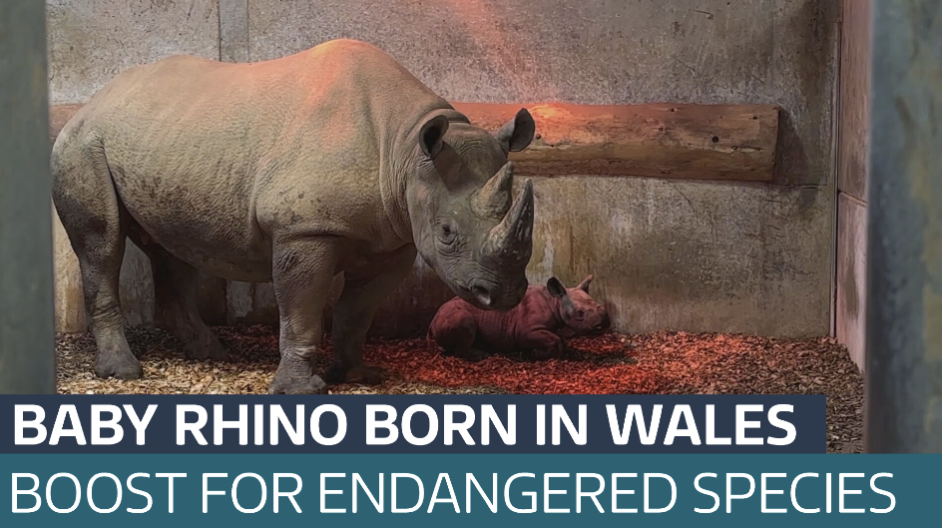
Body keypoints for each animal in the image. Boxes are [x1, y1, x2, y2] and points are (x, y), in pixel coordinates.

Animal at [51, 39, 536, 394]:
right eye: (447, 232)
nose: (503, 295)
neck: (403, 147)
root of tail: (91, 102)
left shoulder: (393, 239)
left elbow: (357, 313)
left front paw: (358, 376)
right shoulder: (304, 230)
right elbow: (302, 312)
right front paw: (303, 390)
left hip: (161, 141)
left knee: (170, 247)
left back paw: (210, 353)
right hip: (82, 145)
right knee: (103, 244)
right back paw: (123, 371)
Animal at [428, 275, 611, 361]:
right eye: (580, 313)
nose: (605, 323)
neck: (555, 300)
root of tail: (432, 320)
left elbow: (559, 339)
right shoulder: (525, 330)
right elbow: (555, 340)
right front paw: (534, 354)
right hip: (452, 314)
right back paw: (481, 355)